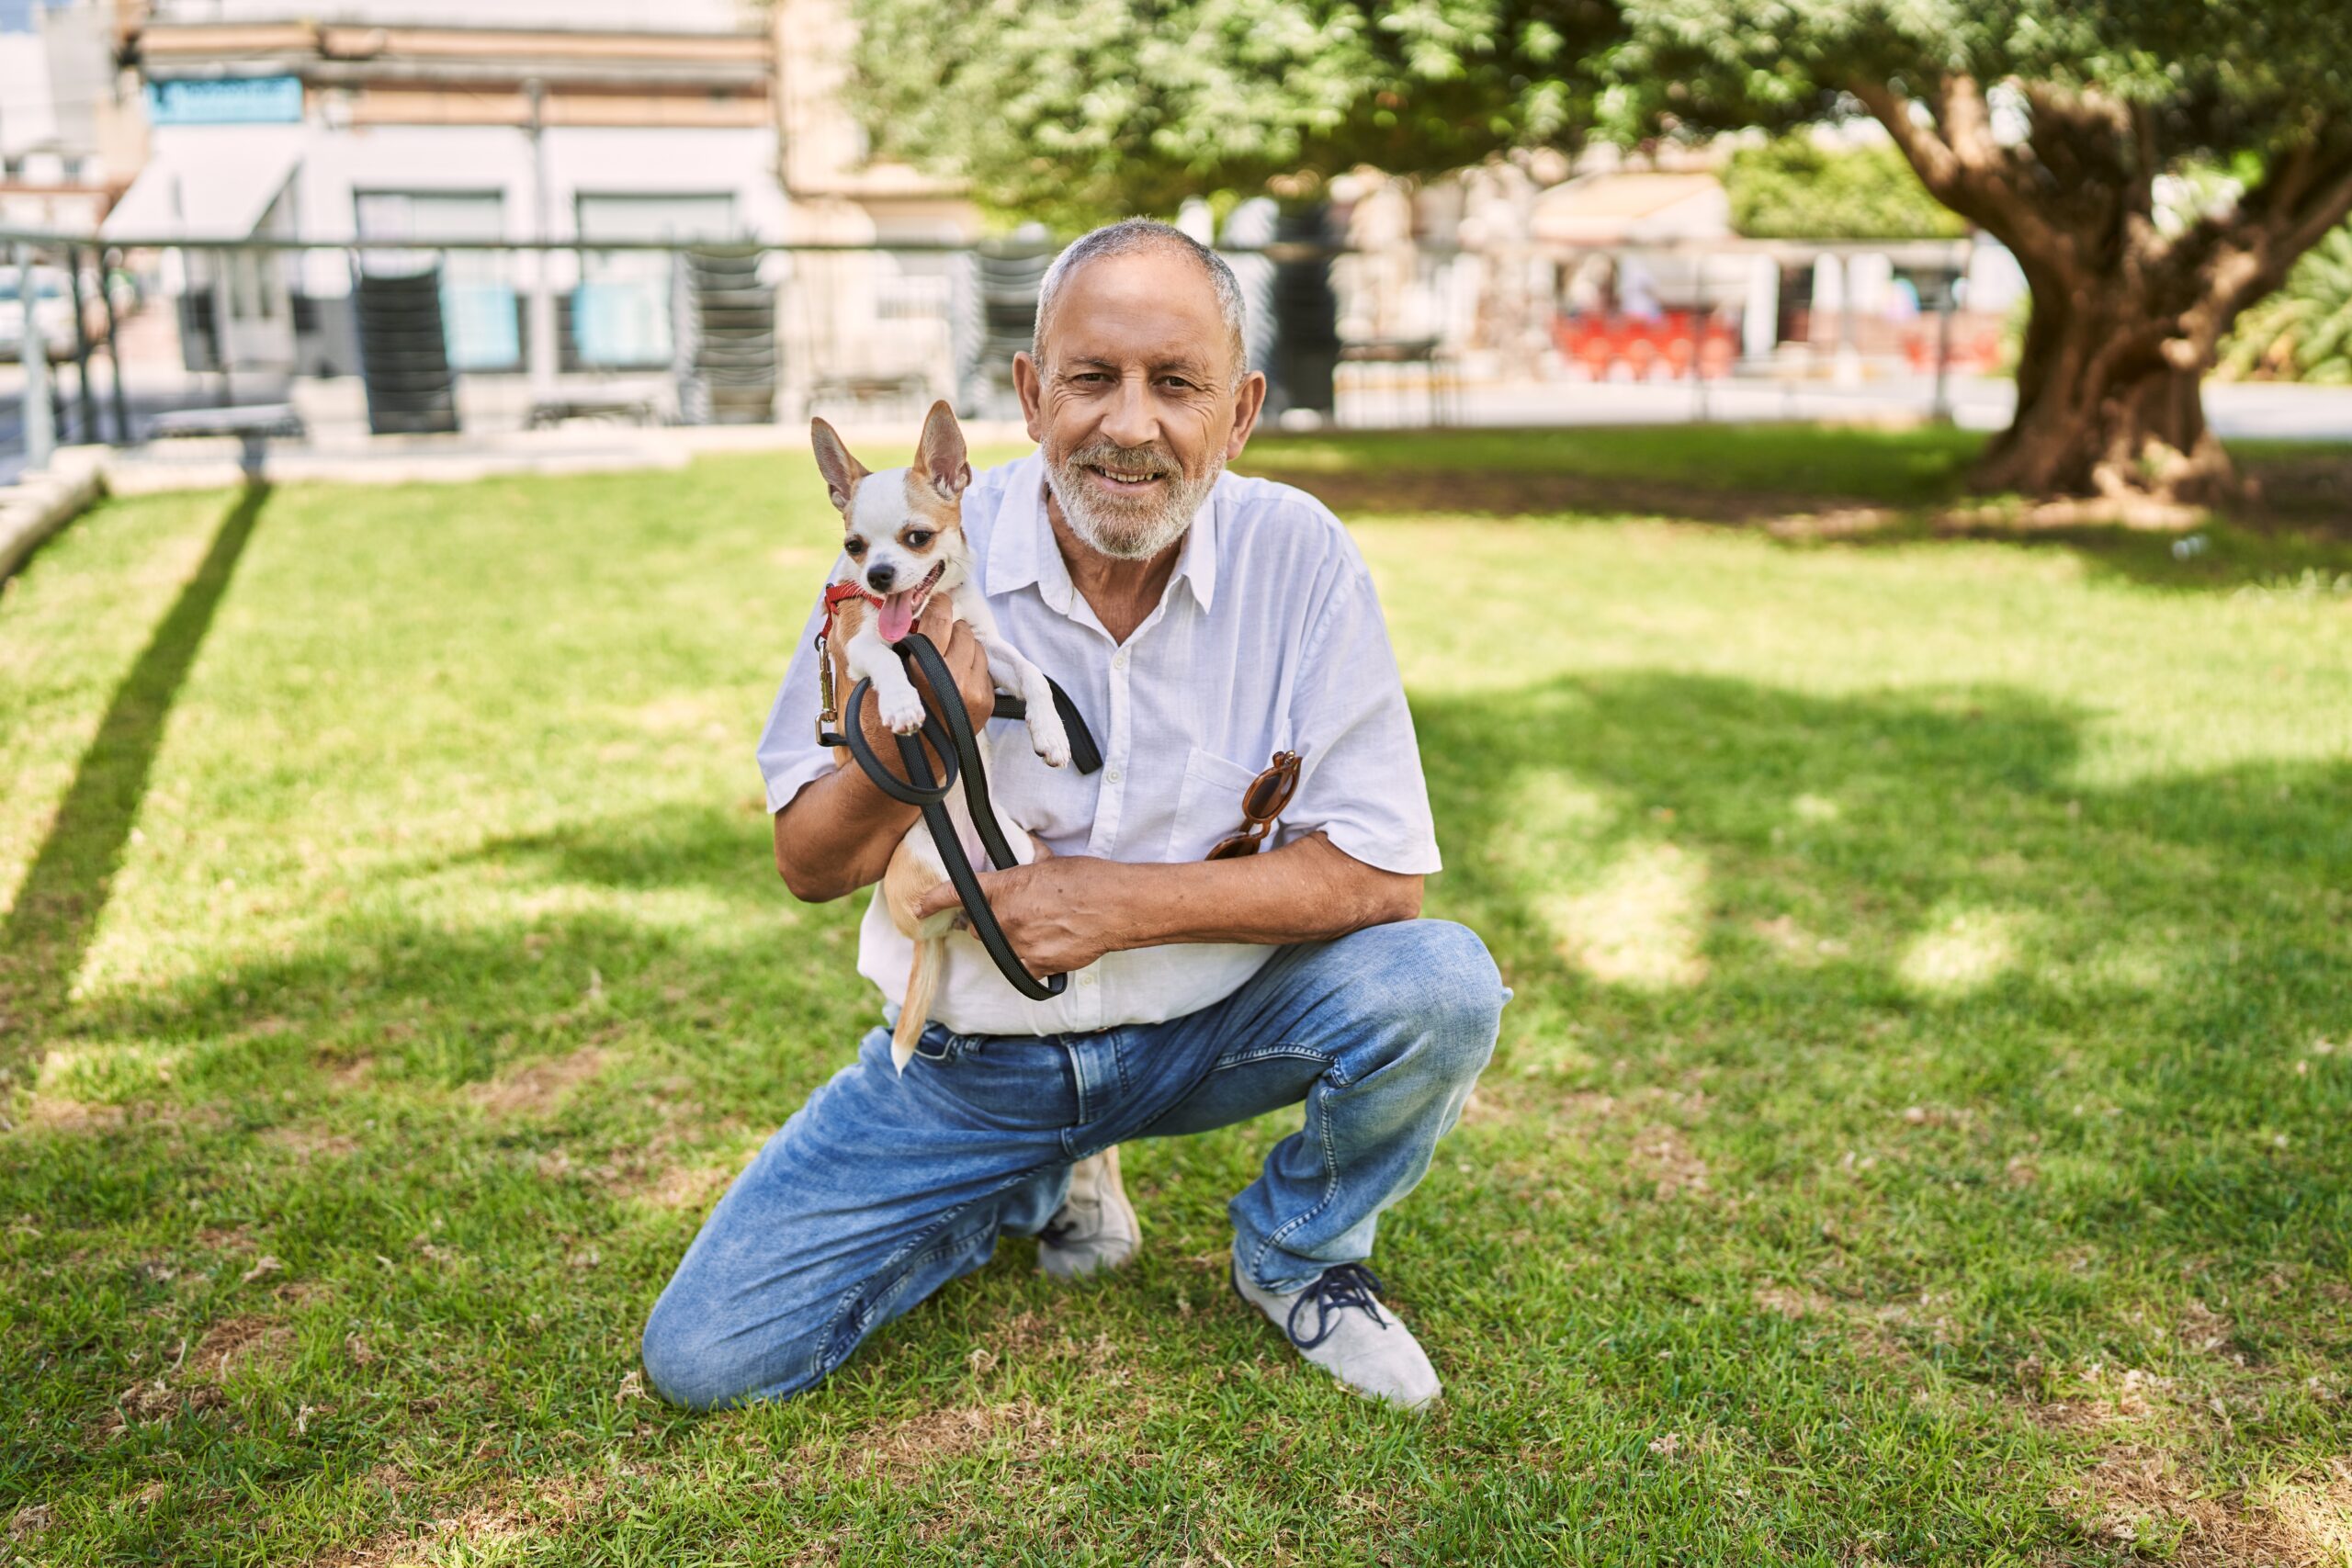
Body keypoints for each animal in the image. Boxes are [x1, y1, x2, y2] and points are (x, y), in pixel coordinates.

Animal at [808, 400, 1068, 1072]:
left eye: (917, 537)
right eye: (853, 546)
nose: (877, 574)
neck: (922, 622)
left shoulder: (986, 647)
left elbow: (1033, 673)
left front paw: (1052, 734)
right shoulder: (860, 646)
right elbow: (887, 657)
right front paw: (902, 703)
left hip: (1016, 849)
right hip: (929, 871)